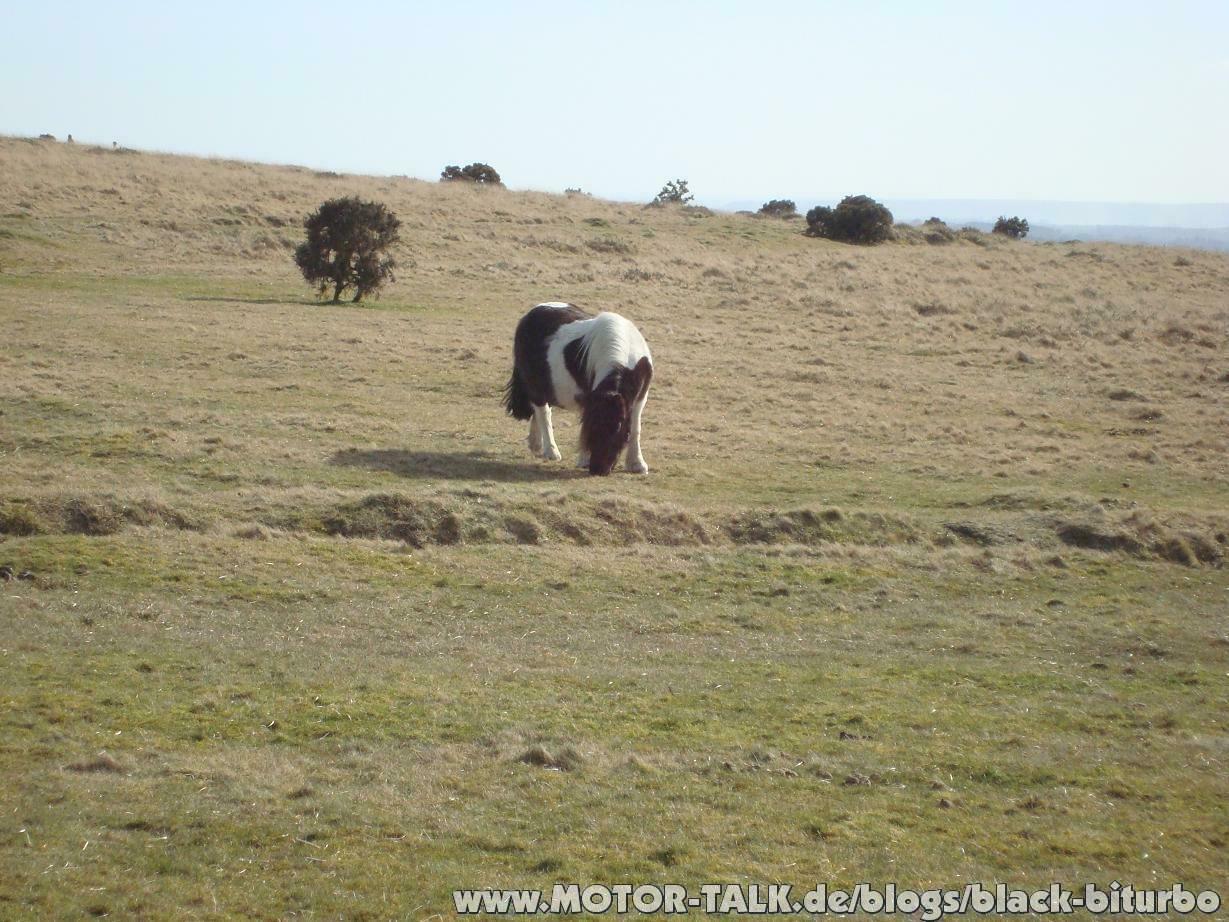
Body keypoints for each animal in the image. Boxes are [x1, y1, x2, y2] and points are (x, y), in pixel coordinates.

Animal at [503, 302, 653, 476]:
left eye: (617, 427)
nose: (597, 470)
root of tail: (530, 315)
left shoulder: (640, 397)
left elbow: (635, 427)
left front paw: (637, 464)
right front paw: (584, 459)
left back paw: (536, 444)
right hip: (536, 387)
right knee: (543, 412)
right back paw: (551, 451)